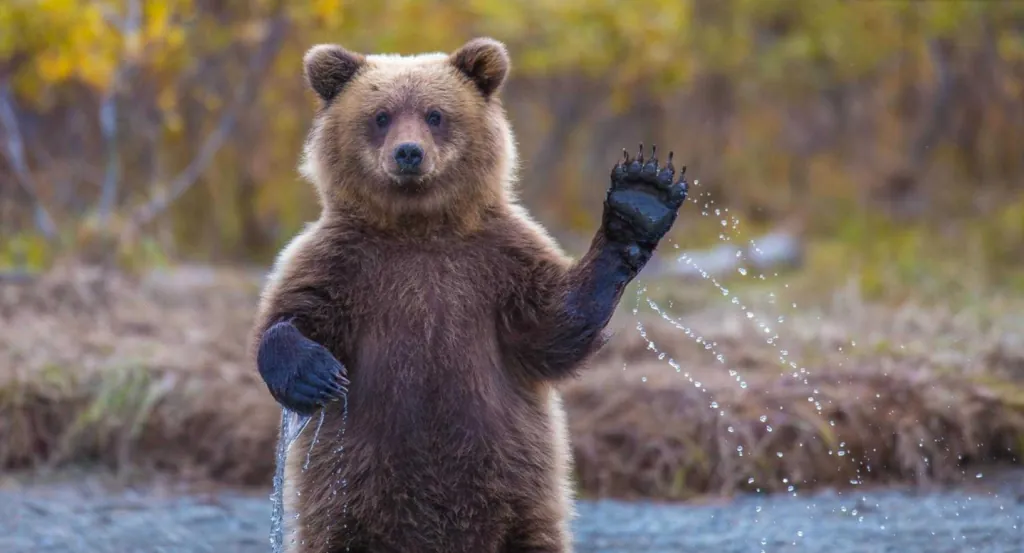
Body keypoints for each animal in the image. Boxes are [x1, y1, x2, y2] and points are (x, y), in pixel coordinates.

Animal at [251, 37, 689, 553]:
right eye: (381, 115)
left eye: (435, 114)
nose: (408, 153)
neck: (418, 227)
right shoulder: (343, 262)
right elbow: (292, 313)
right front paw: (314, 374)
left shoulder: (497, 261)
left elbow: (552, 327)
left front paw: (640, 199)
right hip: (346, 504)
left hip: (520, 498)